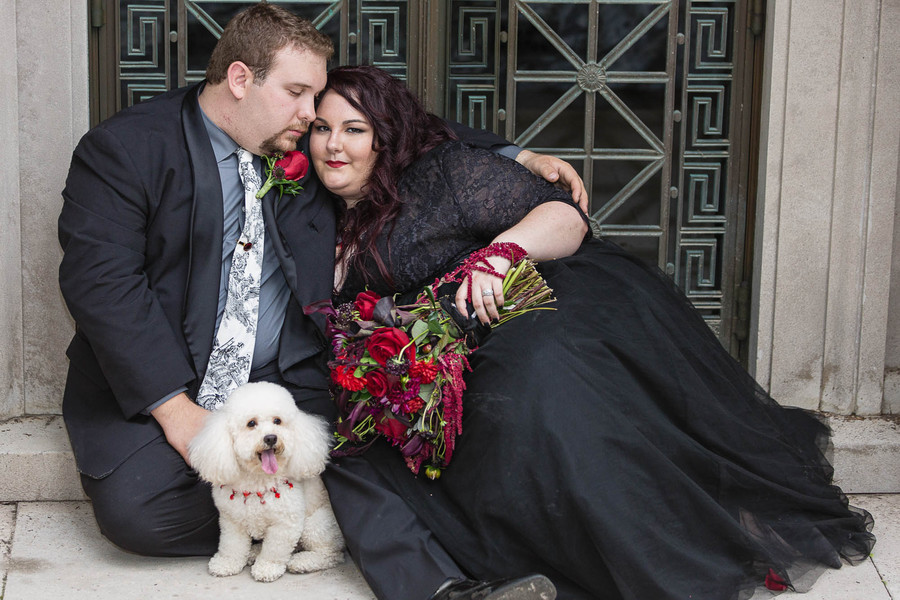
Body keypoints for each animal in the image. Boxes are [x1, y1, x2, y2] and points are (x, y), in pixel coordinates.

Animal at [188, 382, 342, 584]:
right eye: (251, 423)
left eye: (277, 421)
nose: (270, 438)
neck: (258, 479)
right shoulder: (231, 521)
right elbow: (231, 546)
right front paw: (226, 563)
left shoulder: (285, 523)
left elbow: (274, 550)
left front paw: (267, 568)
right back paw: (254, 552)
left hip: (315, 525)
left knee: (330, 554)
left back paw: (302, 561)